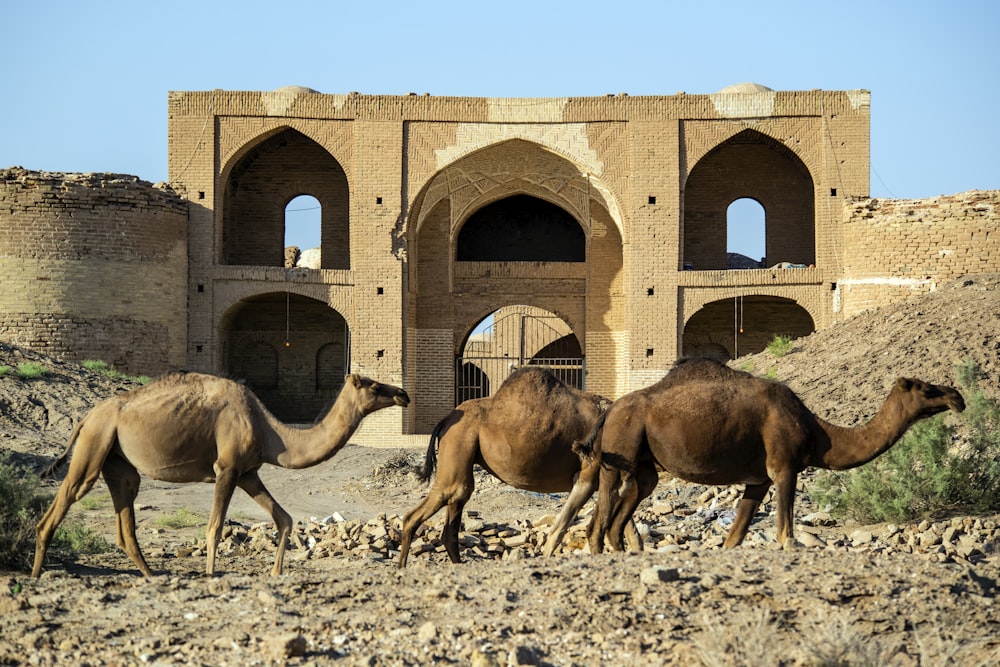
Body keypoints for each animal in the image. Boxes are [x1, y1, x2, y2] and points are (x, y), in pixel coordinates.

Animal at [34, 374, 410, 576]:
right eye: (373, 386)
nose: (403, 393)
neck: (270, 432)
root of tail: (86, 416)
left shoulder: (248, 473)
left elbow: (285, 518)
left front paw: (276, 571)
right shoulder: (226, 469)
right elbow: (214, 527)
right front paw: (211, 573)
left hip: (116, 458)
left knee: (126, 504)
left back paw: (151, 575)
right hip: (94, 444)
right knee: (63, 502)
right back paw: (37, 574)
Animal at [394, 366, 636, 568]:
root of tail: (445, 420)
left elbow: (629, 530)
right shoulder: (589, 472)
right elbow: (561, 528)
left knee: (453, 513)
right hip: (458, 442)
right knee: (428, 508)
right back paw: (402, 567)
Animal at [584, 358, 964, 556]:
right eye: (926, 388)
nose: (956, 396)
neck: (818, 432)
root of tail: (610, 410)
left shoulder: (759, 479)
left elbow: (734, 537)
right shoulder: (785, 467)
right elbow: (786, 536)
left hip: (645, 466)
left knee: (622, 514)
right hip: (619, 447)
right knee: (599, 521)